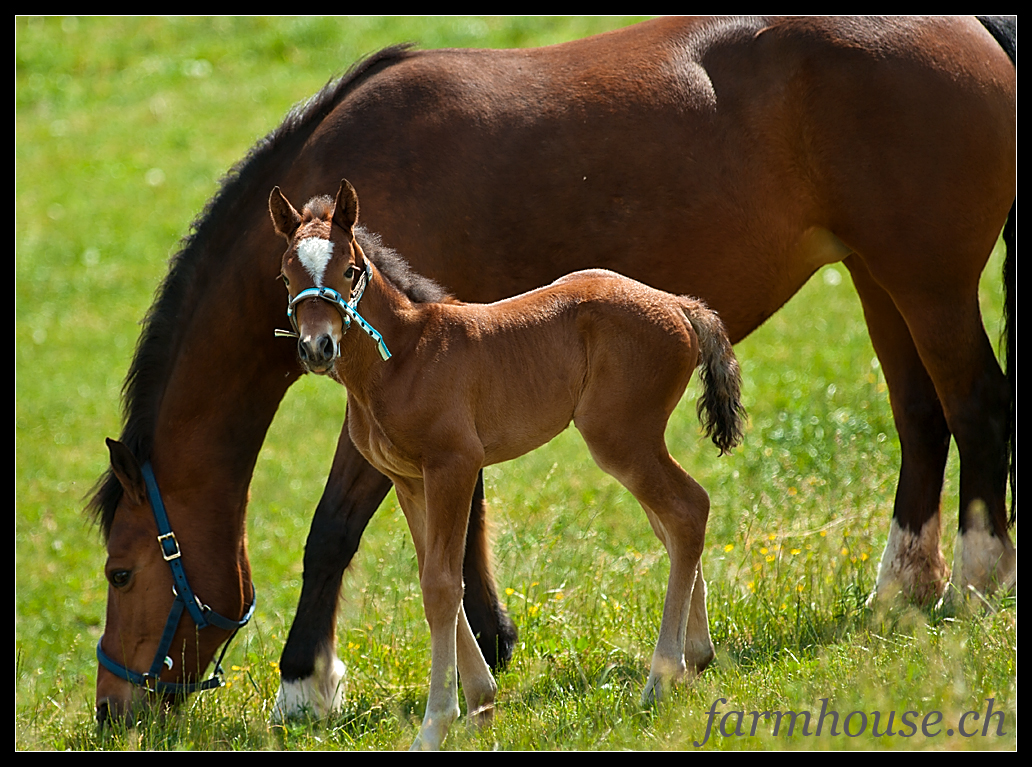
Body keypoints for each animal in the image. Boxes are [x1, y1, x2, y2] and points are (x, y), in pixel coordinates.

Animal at [90, 18, 1015, 726]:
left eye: (119, 571)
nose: (109, 710)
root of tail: (970, 28)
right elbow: (461, 528)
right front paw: (488, 644)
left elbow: (333, 532)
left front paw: (305, 685)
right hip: (877, 277)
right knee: (920, 417)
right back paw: (901, 588)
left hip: (928, 283)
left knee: (975, 404)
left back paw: (977, 576)